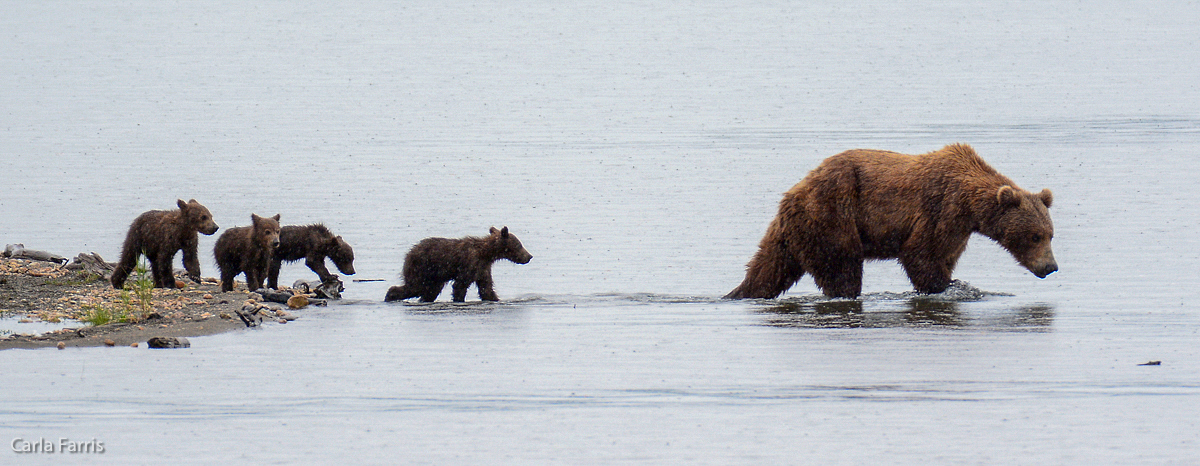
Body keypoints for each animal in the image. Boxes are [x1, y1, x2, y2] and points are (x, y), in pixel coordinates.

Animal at [384, 226, 535, 303]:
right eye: (519, 245)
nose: (529, 256)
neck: (486, 254)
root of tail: (408, 253)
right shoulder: (470, 264)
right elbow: (460, 285)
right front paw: (459, 299)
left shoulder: (483, 268)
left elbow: (486, 288)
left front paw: (495, 298)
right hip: (422, 268)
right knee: (416, 287)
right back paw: (390, 295)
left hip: (434, 277)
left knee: (430, 291)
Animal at [724, 143, 1056, 300]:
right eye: (1035, 236)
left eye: (1051, 234)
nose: (1050, 267)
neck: (970, 207)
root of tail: (791, 195)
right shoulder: (940, 209)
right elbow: (921, 254)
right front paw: (945, 285)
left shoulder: (958, 230)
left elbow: (944, 255)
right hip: (832, 216)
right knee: (841, 269)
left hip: (794, 233)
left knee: (769, 269)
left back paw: (740, 292)